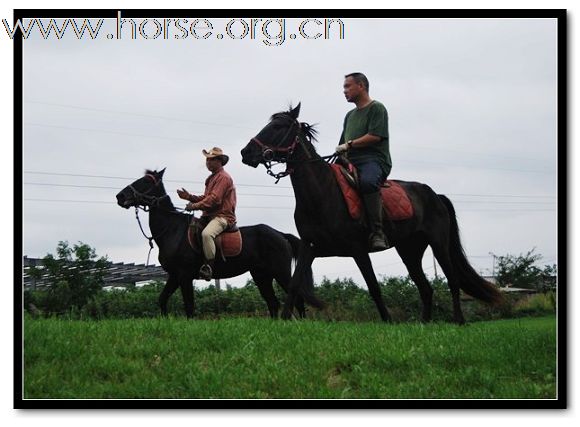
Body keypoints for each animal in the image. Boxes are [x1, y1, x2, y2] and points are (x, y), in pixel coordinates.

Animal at [113, 169, 322, 320]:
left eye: (145, 181)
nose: (120, 197)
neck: (172, 230)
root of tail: (280, 234)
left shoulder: (184, 276)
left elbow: (189, 306)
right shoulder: (174, 275)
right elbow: (162, 299)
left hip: (280, 273)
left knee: (297, 299)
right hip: (261, 275)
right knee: (273, 302)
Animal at [240, 104, 502, 324]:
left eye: (278, 127)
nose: (246, 152)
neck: (322, 193)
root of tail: (435, 195)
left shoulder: (358, 249)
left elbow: (374, 287)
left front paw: (387, 321)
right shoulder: (309, 247)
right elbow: (295, 285)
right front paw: (285, 319)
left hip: (438, 243)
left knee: (452, 280)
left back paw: (459, 320)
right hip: (409, 250)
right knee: (425, 288)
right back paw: (424, 323)